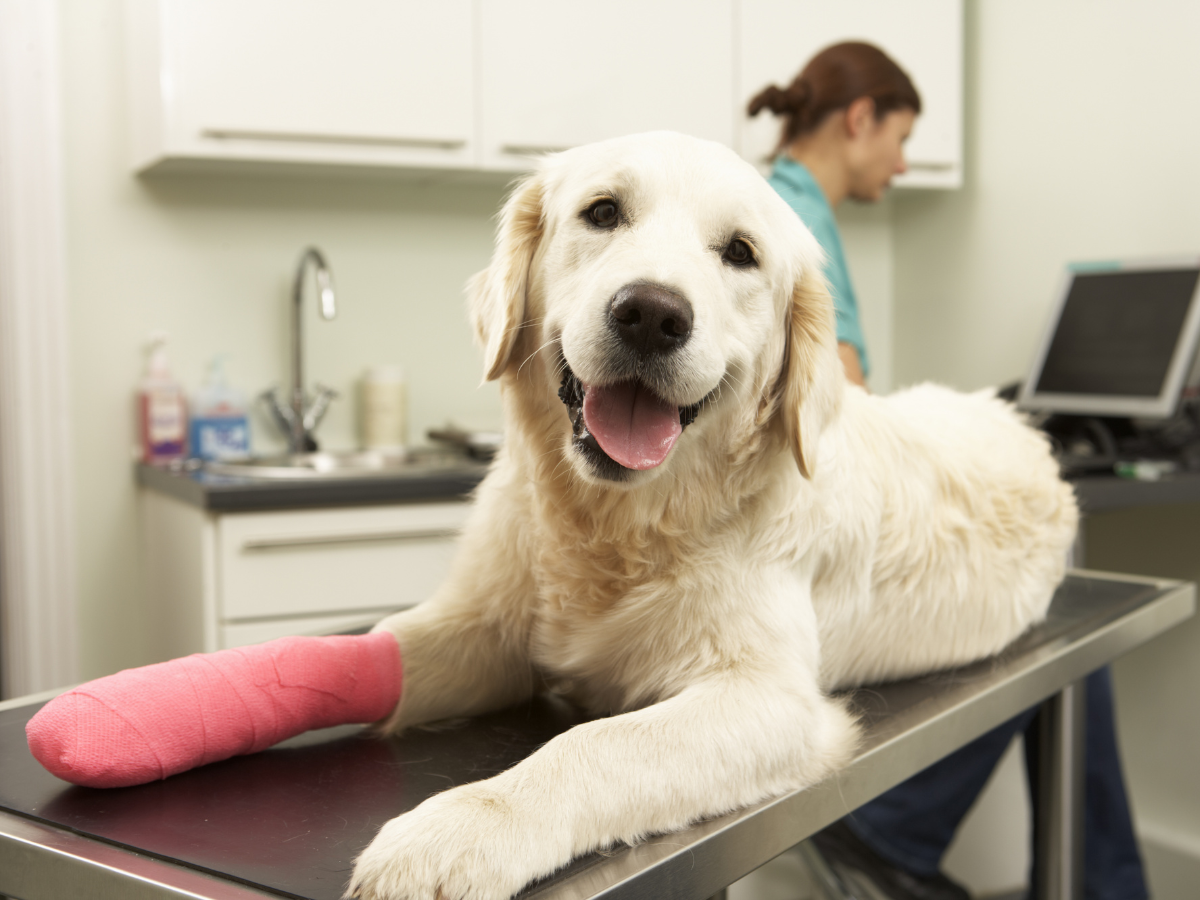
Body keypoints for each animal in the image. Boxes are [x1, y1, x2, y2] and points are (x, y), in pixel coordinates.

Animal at [345, 132, 1080, 900]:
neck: (620, 524)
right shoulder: (485, 627)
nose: (651, 314)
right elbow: (387, 646)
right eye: (602, 212)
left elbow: (598, 742)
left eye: (740, 252)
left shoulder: (770, 699)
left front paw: (457, 830)